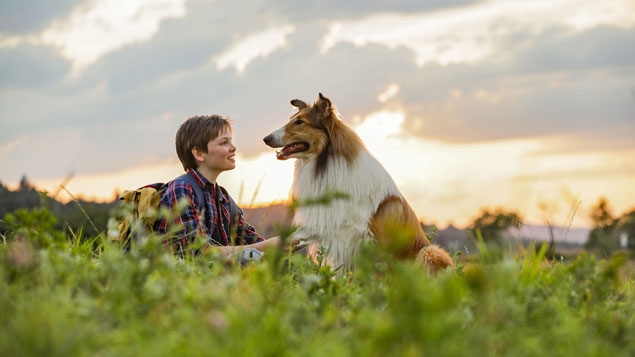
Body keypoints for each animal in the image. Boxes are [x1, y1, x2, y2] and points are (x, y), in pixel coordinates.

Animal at [262, 92, 452, 272]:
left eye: (300, 122)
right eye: (293, 120)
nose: (266, 138)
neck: (324, 164)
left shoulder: (363, 240)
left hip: (430, 252)